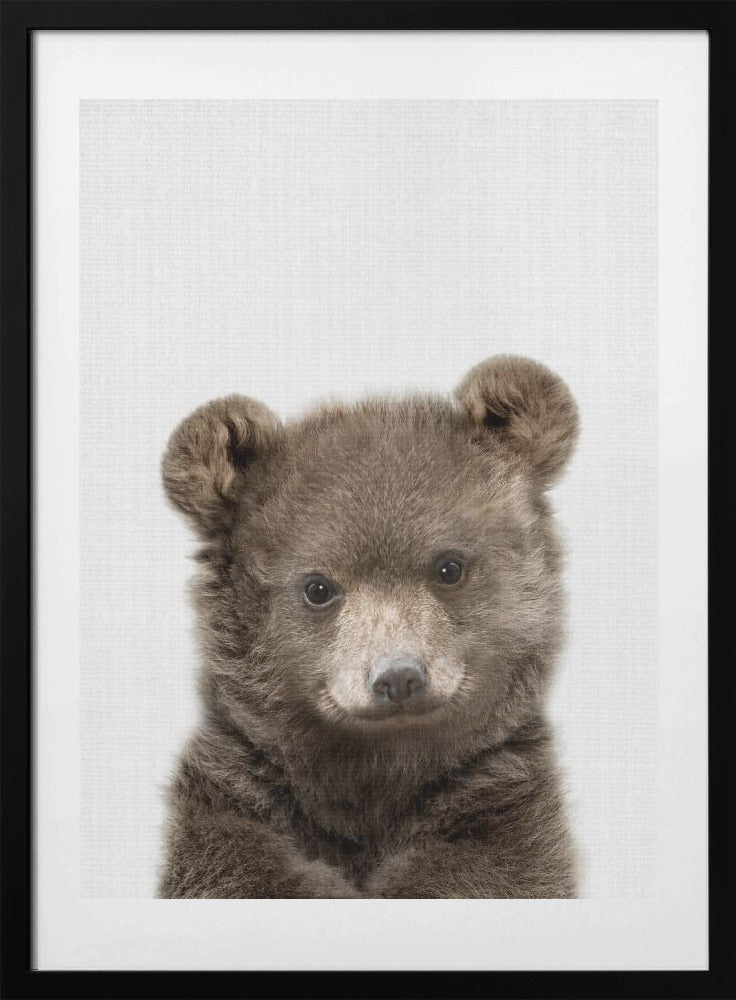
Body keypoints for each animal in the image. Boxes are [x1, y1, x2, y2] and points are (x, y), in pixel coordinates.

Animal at [158, 355, 579, 899]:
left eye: (449, 567)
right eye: (318, 587)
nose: (398, 677)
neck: (374, 778)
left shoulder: (501, 810)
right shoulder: (235, 805)